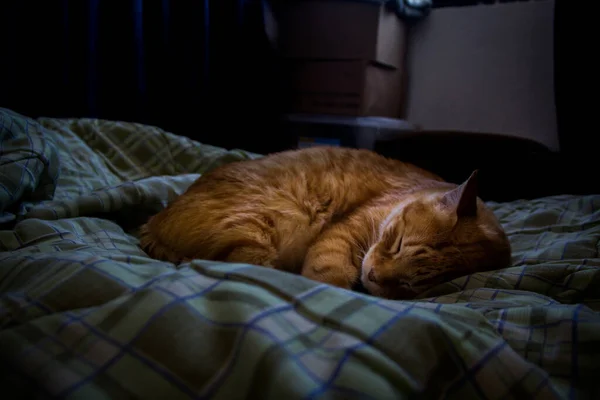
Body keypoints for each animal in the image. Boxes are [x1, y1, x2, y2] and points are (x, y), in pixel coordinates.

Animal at [141, 145, 510, 298]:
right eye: (397, 244)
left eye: (410, 284)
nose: (372, 276)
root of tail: (152, 222)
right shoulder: (344, 232)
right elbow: (327, 274)